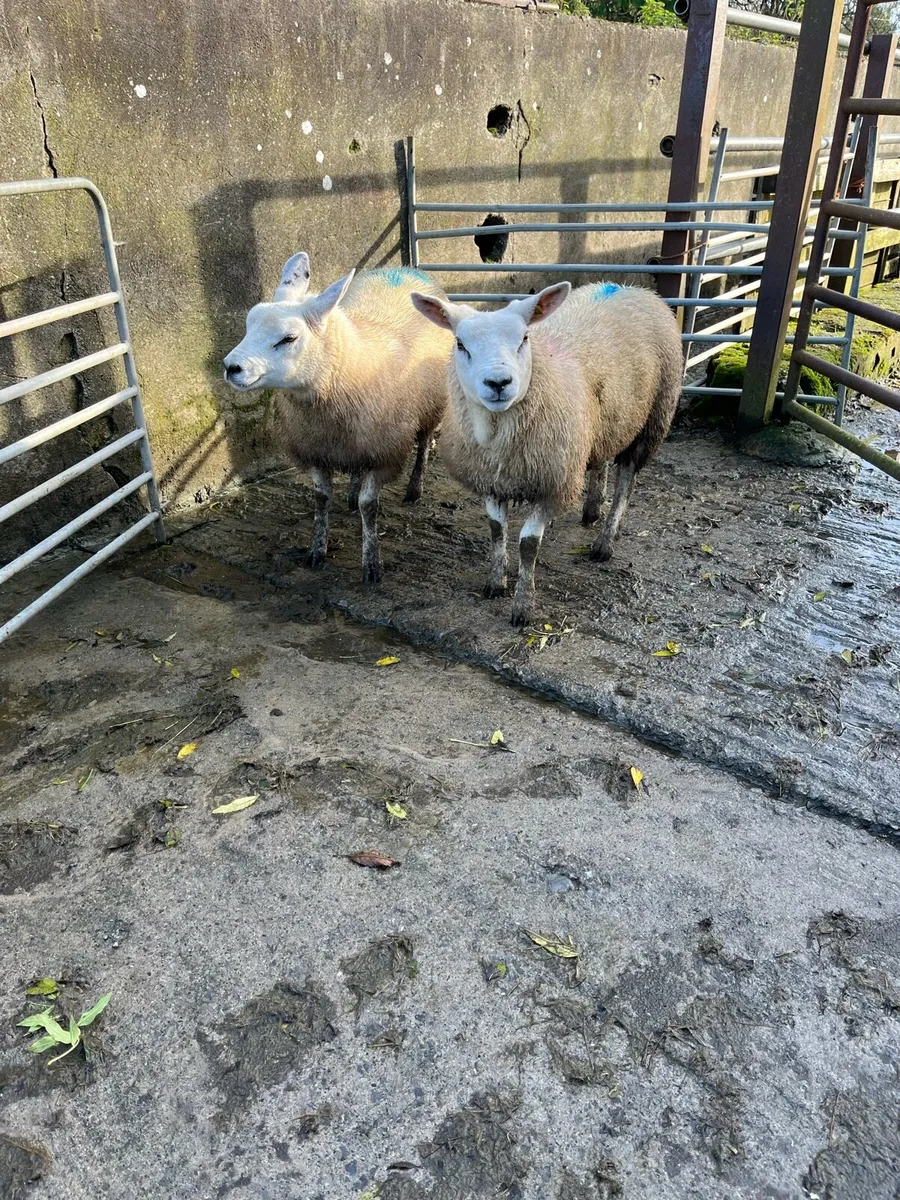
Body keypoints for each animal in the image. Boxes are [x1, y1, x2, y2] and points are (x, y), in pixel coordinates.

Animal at [223, 255, 453, 583]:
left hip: (430, 405)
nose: (231, 367)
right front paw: (316, 549)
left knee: (423, 444)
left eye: (289, 338)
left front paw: (371, 563)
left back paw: (414, 489)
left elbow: (369, 507)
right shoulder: (316, 448)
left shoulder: (384, 452)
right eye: (248, 323)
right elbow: (321, 498)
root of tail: (404, 268)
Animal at [411, 280, 681, 625]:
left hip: (652, 420)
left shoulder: (553, 481)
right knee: (601, 459)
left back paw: (605, 541)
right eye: (460, 344)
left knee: (627, 483)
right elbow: (496, 531)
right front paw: (495, 583)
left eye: (524, 338)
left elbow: (528, 545)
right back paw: (592, 509)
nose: (498, 382)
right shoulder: (492, 477)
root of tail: (631, 287)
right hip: (601, 422)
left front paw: (523, 606)